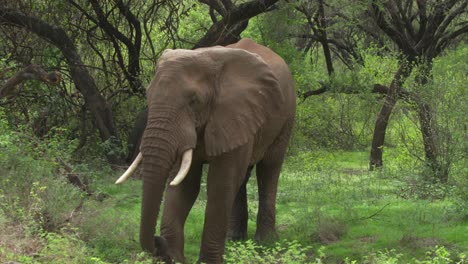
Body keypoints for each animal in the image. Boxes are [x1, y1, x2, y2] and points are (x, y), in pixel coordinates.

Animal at [115, 38, 294, 262]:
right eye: (148, 96)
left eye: (194, 101)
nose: (158, 242)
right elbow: (185, 185)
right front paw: (175, 258)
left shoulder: (233, 112)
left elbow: (220, 184)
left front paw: (206, 262)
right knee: (242, 178)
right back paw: (234, 240)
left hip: (285, 116)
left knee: (268, 170)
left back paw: (266, 242)